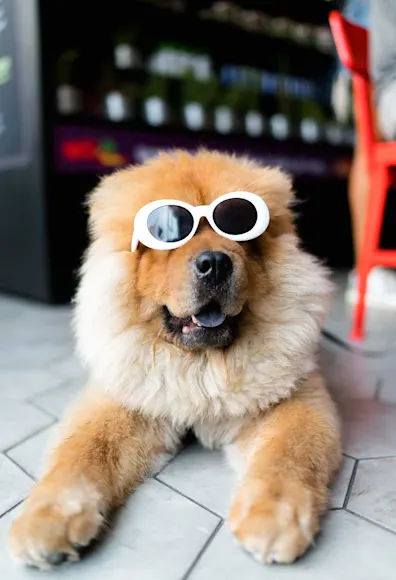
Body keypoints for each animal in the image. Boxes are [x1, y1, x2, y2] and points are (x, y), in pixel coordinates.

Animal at [6, 150, 340, 568]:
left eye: (239, 226)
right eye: (167, 231)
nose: (215, 262)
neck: (200, 365)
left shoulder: (295, 401)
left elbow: (288, 455)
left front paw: (273, 518)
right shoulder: (122, 400)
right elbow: (81, 451)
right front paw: (48, 517)